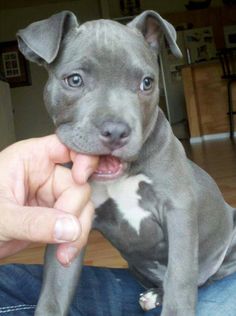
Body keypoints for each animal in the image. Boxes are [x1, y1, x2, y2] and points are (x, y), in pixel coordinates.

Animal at [17, 9, 236, 316]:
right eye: (75, 80)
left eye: (147, 82)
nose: (116, 131)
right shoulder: (71, 222)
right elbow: (53, 292)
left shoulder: (178, 210)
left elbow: (180, 279)